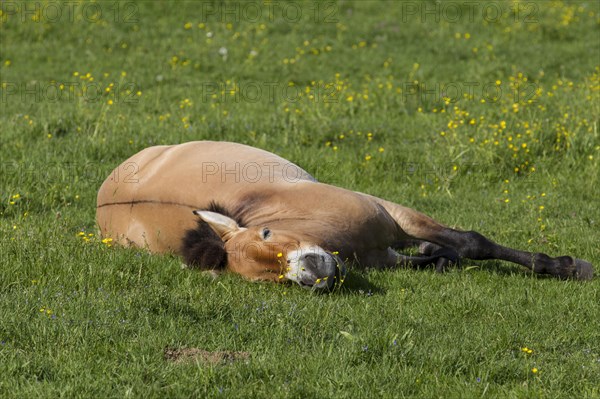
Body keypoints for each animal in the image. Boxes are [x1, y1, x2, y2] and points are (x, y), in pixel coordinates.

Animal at [96, 141, 592, 290]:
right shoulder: (383, 255)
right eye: (270, 280)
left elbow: (472, 242)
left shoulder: (396, 214)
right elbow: (442, 255)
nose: (312, 273)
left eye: (267, 232)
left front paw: (567, 266)